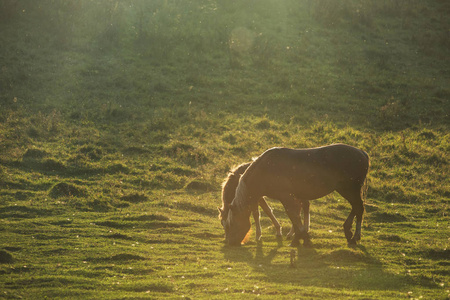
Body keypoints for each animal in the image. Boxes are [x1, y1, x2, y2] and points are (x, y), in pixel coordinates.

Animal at [225, 144, 370, 247]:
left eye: (231, 225)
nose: (230, 243)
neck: (265, 168)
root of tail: (363, 153)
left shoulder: (286, 196)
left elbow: (293, 215)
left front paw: (300, 237)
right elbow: (294, 216)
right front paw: (299, 237)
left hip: (350, 189)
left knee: (359, 207)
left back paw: (355, 236)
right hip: (347, 190)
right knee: (356, 207)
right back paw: (348, 231)